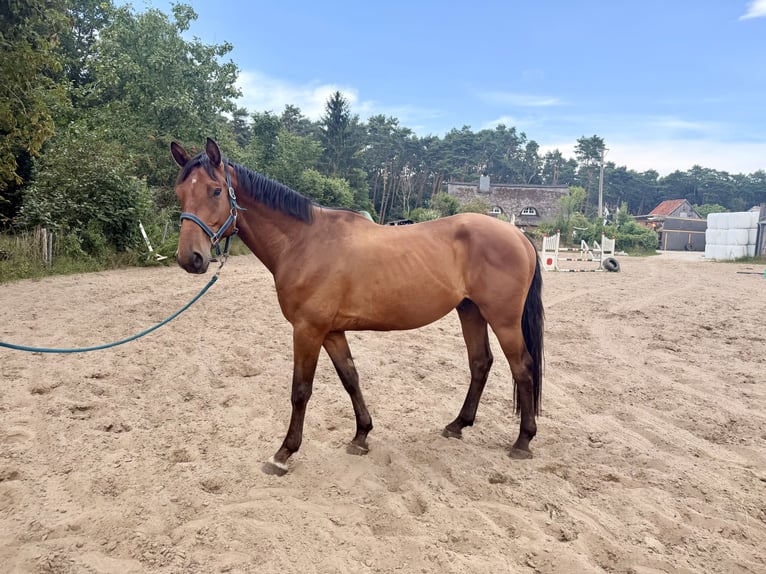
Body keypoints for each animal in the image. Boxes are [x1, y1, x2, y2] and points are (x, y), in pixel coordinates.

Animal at [171, 138, 544, 476]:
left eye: (216, 191)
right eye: (180, 192)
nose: (191, 258)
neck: (304, 243)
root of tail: (519, 236)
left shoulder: (308, 330)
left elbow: (300, 391)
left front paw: (283, 454)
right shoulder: (332, 331)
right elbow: (350, 378)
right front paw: (361, 435)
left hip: (503, 319)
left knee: (522, 367)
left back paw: (523, 441)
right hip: (471, 311)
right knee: (480, 363)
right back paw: (457, 425)